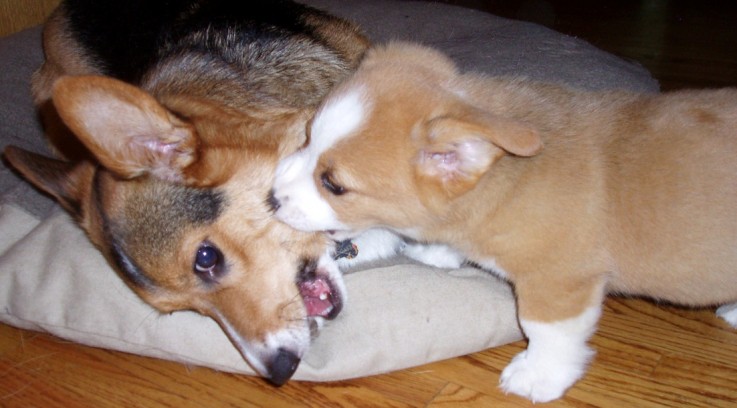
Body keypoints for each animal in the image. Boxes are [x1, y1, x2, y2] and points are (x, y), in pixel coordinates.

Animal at [270, 42, 736, 402]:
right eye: (306, 137)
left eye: (334, 184)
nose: (271, 197)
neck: (503, 178)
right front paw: (435, 252)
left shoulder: (558, 282)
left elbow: (545, 332)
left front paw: (536, 377)